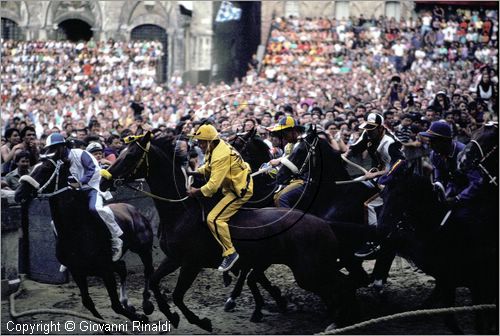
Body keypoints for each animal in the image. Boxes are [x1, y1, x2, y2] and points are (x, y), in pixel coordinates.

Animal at [100, 131, 360, 330]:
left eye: (131, 155)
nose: (104, 180)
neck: (181, 211)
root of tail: (323, 223)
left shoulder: (191, 263)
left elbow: (177, 295)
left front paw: (201, 321)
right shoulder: (174, 259)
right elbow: (154, 281)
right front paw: (167, 313)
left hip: (309, 272)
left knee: (342, 285)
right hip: (310, 269)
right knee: (344, 284)